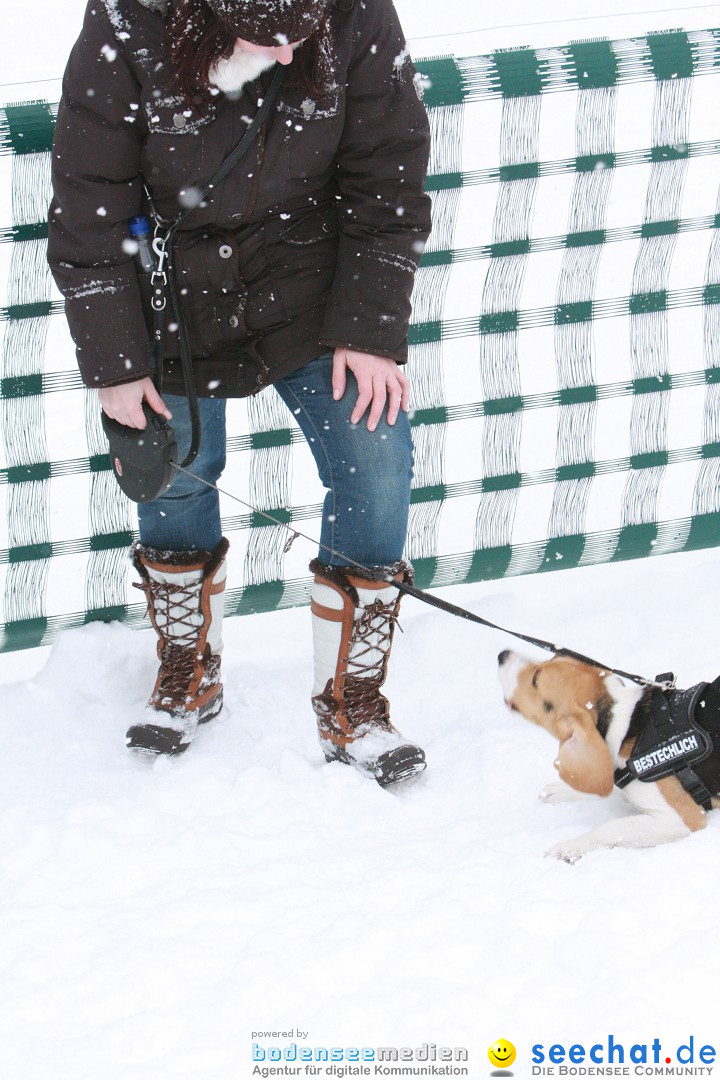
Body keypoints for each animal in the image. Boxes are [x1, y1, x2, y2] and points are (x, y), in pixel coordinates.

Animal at [496, 648, 720, 859]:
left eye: (535, 679)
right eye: (551, 657)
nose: (502, 654)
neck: (625, 727)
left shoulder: (682, 819)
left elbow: (609, 827)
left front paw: (570, 846)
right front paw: (562, 790)